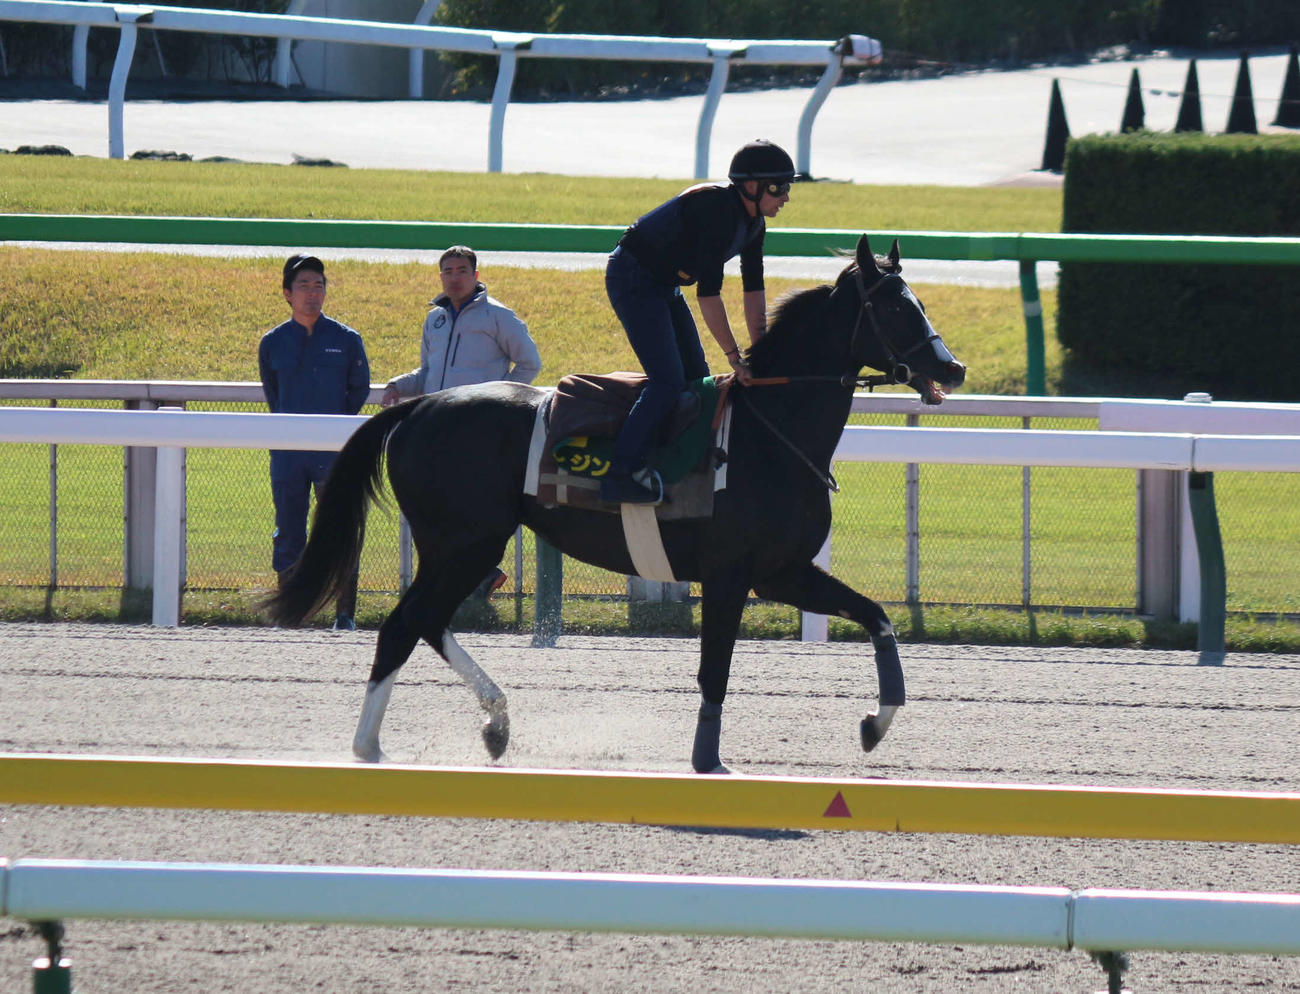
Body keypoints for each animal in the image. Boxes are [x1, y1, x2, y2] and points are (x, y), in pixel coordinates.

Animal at [265, 235, 966, 772]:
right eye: (896, 307)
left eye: (918, 300)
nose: (952, 368)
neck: (769, 432)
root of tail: (421, 405)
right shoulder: (733, 574)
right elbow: (714, 670)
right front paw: (709, 762)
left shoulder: (782, 572)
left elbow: (877, 616)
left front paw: (875, 724)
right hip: (464, 541)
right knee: (404, 625)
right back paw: (375, 747)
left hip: (462, 545)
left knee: (423, 623)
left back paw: (487, 725)